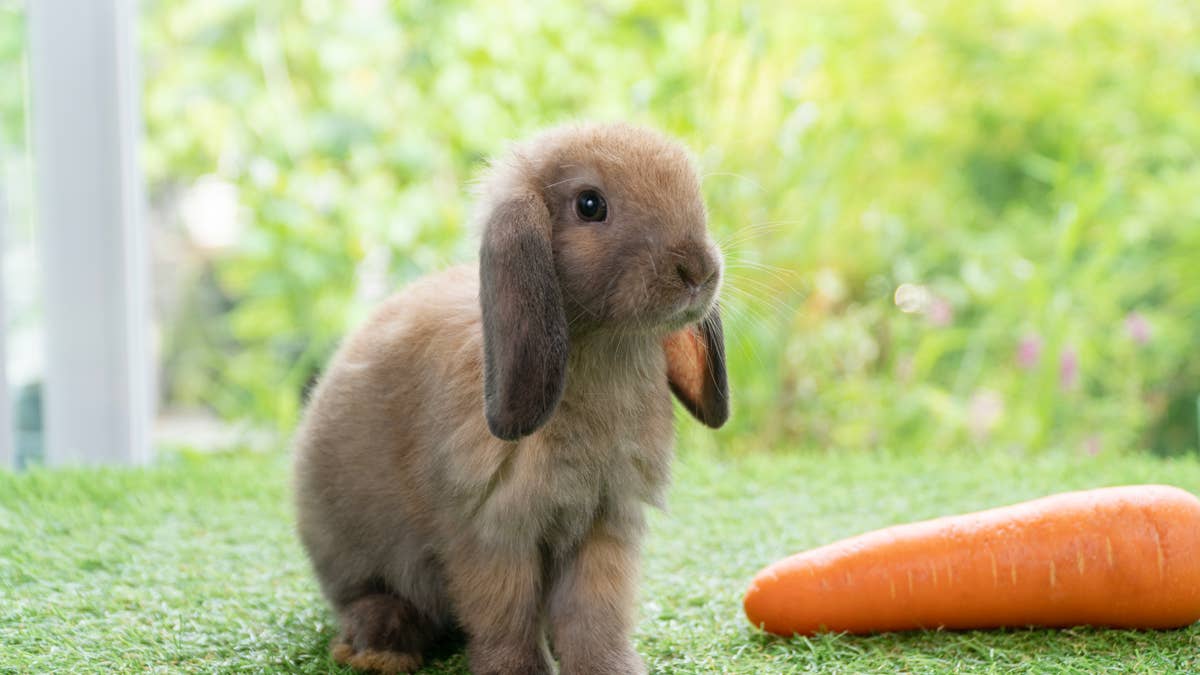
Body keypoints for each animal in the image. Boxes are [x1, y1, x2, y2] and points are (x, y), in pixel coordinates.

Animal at [293, 122, 729, 675]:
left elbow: (594, 615)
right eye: (590, 205)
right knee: (367, 597)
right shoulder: (492, 529)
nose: (698, 270)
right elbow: (505, 613)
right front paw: (517, 670)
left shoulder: (604, 522)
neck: (602, 348)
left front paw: (610, 668)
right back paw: (380, 646)